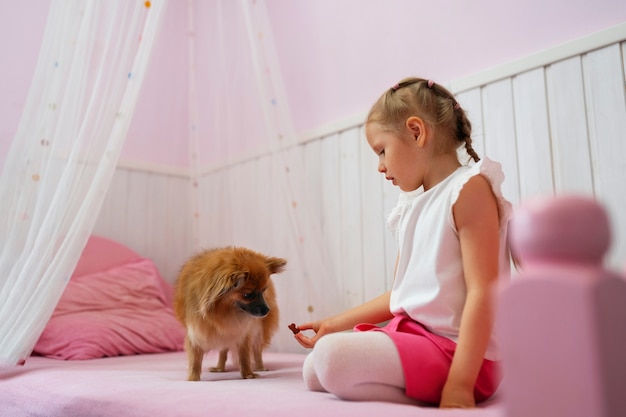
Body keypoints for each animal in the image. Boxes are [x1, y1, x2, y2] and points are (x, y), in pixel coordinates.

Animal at [173, 247, 286, 380]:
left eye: (263, 291)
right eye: (247, 295)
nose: (267, 310)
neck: (224, 313)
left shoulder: (243, 332)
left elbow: (244, 356)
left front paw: (248, 374)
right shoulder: (196, 331)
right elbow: (194, 359)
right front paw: (193, 379)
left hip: (258, 330)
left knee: (257, 349)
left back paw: (260, 367)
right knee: (223, 351)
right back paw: (219, 368)